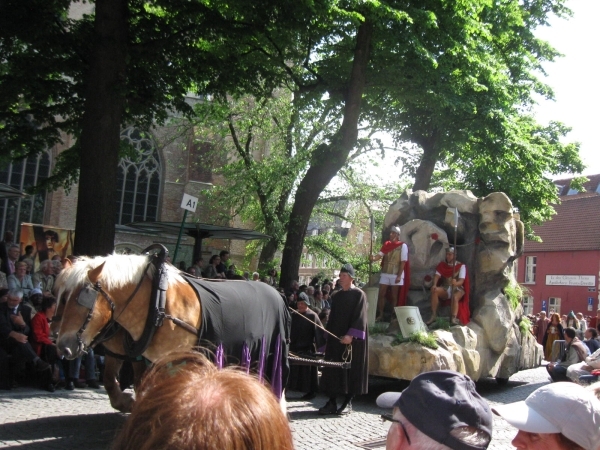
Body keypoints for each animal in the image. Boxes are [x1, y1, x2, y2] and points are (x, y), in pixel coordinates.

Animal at [54, 250, 290, 412]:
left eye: (82, 299)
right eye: (61, 298)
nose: (63, 348)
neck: (156, 303)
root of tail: (277, 293)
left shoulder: (180, 360)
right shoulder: (130, 352)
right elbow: (114, 380)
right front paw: (128, 403)